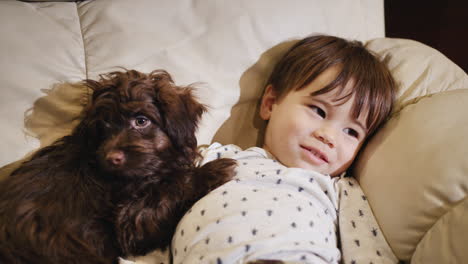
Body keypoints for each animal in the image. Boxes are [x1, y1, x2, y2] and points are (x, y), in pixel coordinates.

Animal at [0, 70, 236, 264]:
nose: (112, 158)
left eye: (141, 121)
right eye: (103, 127)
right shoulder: (131, 222)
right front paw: (213, 170)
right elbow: (169, 187)